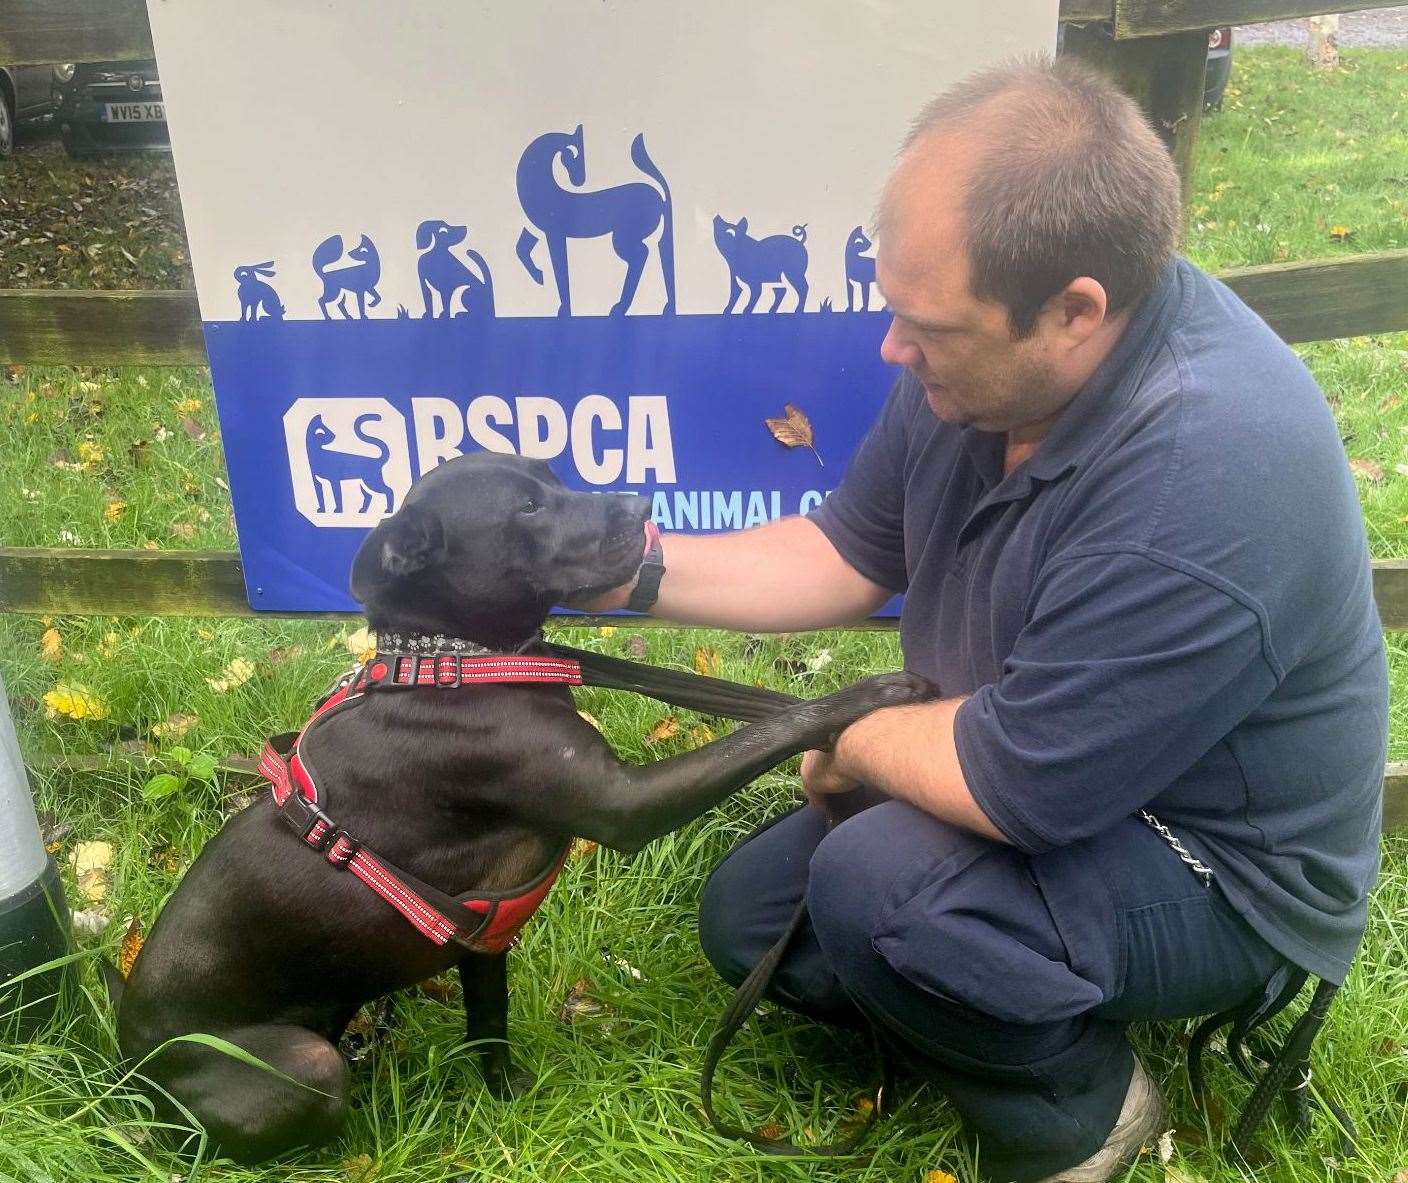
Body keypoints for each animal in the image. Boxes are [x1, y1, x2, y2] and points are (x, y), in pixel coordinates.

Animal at [112, 453, 934, 1166]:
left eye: (554, 475)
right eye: (529, 508)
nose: (641, 506)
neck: (452, 662)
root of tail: (128, 1071)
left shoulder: (485, 943)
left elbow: (489, 1029)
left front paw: (505, 1101)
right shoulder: (622, 804)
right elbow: (773, 726)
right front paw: (875, 697)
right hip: (302, 1064)